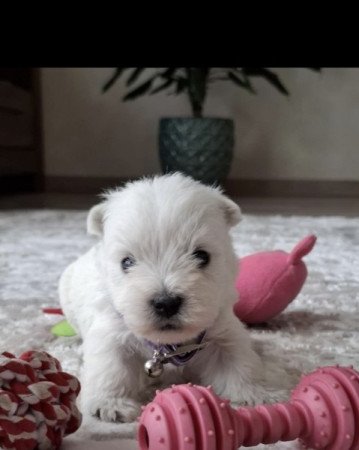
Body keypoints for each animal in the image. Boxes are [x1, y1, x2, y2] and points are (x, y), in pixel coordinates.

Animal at [59, 171, 290, 422]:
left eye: (202, 256)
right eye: (126, 262)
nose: (166, 303)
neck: (167, 346)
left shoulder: (223, 330)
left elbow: (239, 362)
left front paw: (259, 394)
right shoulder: (111, 331)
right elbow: (111, 368)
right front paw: (110, 404)